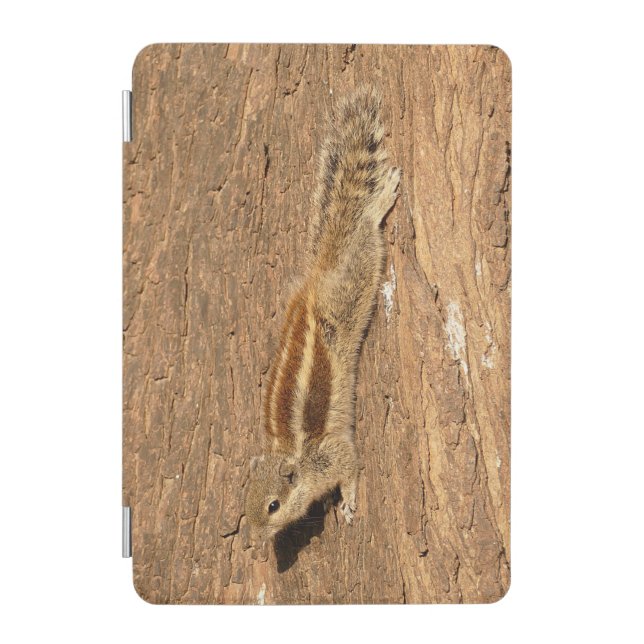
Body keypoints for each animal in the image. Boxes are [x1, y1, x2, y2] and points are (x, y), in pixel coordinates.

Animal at [245, 85, 400, 541]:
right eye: (244, 506)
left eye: (273, 505)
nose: (254, 541)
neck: (292, 456)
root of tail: (319, 274)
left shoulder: (333, 454)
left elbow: (351, 466)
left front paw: (347, 502)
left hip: (353, 285)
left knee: (363, 235)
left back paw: (379, 203)